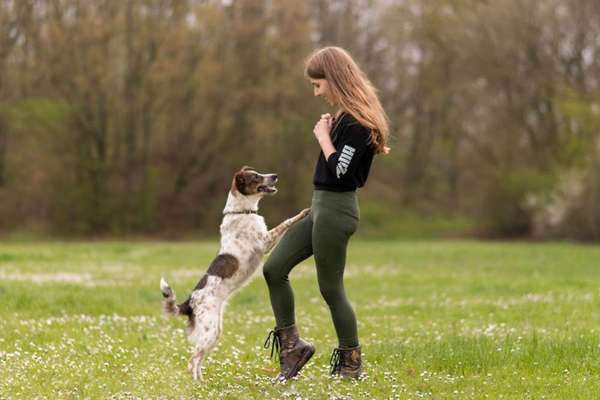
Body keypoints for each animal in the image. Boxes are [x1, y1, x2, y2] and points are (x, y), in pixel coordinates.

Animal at [159, 166, 310, 382]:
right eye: (256, 177)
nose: (275, 176)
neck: (243, 211)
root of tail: (189, 302)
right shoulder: (265, 241)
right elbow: (286, 222)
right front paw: (304, 212)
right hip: (209, 330)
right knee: (192, 360)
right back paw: (198, 384)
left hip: (214, 331)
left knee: (197, 359)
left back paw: (203, 383)